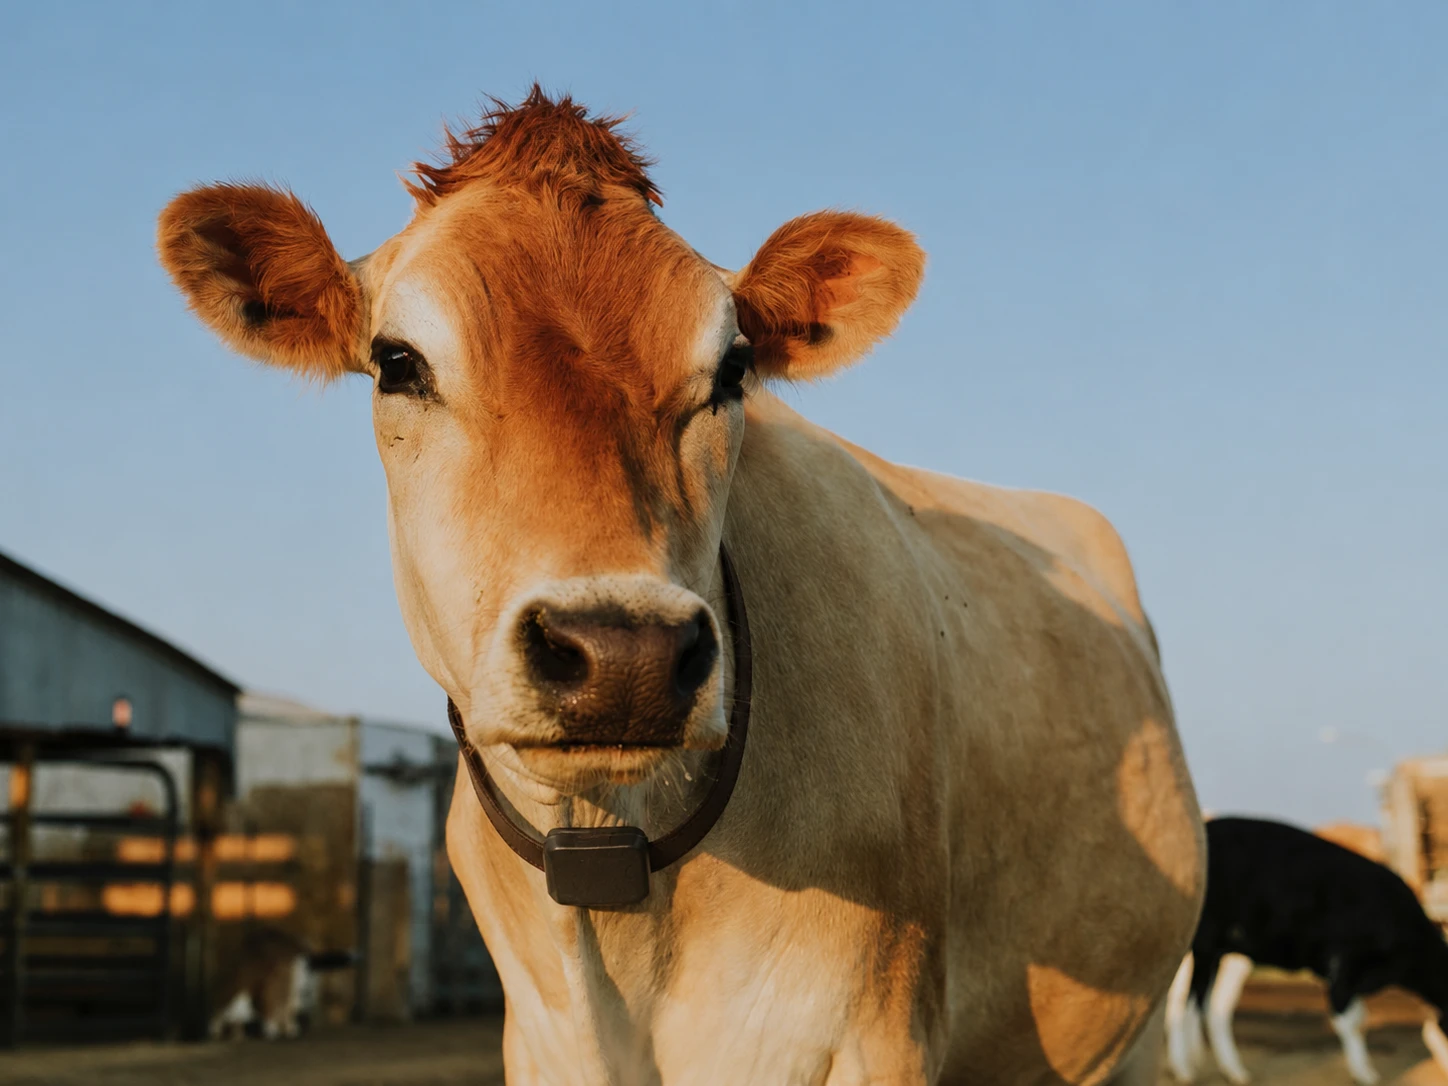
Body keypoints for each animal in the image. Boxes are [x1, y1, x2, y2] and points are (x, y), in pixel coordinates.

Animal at [157, 87, 1204, 1083]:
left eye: (734, 367)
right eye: (397, 362)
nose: (623, 653)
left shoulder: (879, 1033)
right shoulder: (539, 1044)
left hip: (1141, 1030)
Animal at [1165, 816, 1448, 1085]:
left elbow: (1361, 1018)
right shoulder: (1345, 965)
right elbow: (1351, 1021)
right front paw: (1363, 1074)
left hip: (1230, 954)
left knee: (1215, 1007)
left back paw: (1233, 1071)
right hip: (1203, 944)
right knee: (1186, 1002)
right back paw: (1185, 1070)